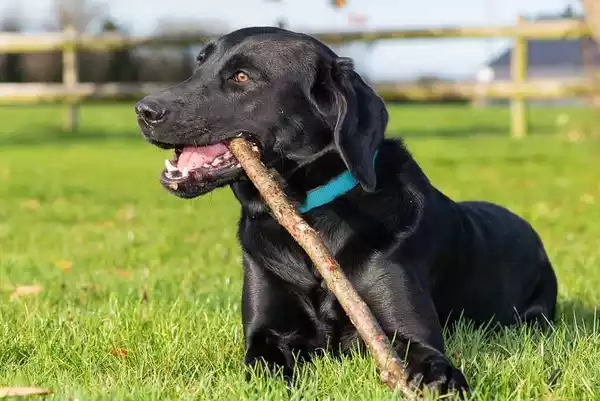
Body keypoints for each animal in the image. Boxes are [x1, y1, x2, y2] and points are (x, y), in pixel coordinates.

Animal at [136, 27, 556, 394]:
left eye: (242, 77)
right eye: (199, 64)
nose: (144, 110)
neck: (310, 216)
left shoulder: (407, 331)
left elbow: (428, 359)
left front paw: (442, 381)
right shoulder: (267, 331)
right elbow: (265, 365)